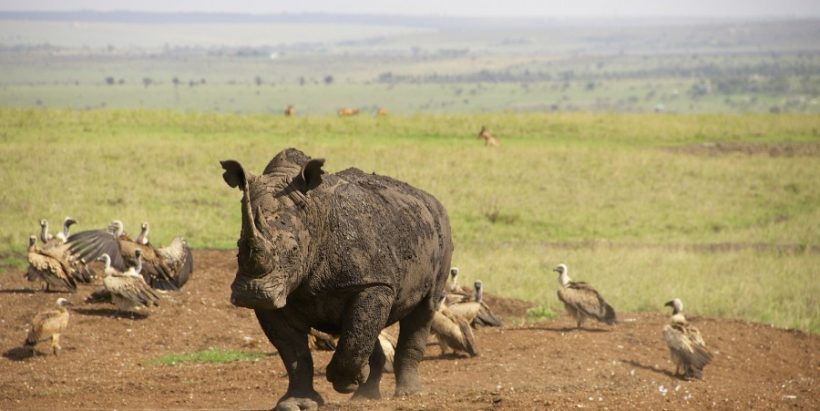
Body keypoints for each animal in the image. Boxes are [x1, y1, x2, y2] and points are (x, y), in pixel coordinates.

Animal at [221, 147, 454, 408]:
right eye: (238, 247)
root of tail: (428, 198)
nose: (253, 292)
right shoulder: (276, 297)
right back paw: (364, 396)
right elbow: (294, 354)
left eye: (294, 250)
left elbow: (354, 336)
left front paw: (344, 382)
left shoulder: (372, 282)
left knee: (424, 308)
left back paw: (408, 394)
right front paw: (296, 403)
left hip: (441, 230)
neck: (315, 213)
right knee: (365, 327)